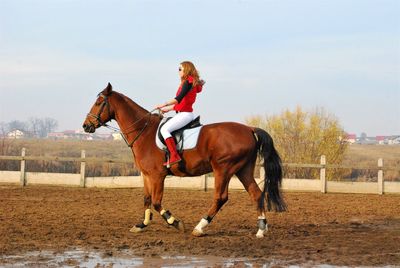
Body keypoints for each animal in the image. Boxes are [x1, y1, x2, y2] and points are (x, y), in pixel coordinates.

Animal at [83, 82, 286, 238]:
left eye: (99, 102)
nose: (86, 126)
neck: (144, 131)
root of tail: (249, 129)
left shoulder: (157, 176)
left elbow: (156, 202)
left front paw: (175, 222)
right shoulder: (147, 175)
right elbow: (147, 199)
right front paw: (142, 224)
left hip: (224, 169)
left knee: (220, 197)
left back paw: (199, 227)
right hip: (243, 169)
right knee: (256, 194)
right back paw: (261, 230)